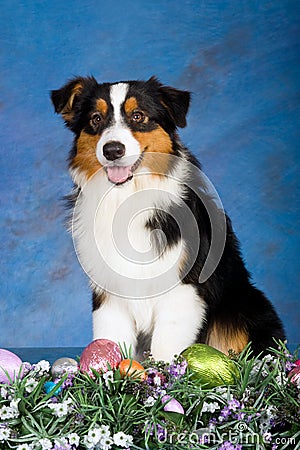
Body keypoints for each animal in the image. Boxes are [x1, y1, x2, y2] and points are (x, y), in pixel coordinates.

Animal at [51, 75, 286, 360]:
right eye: (96, 118)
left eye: (138, 115)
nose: (112, 150)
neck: (127, 196)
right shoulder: (109, 293)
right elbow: (110, 342)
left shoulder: (183, 289)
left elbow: (165, 348)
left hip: (243, 307)